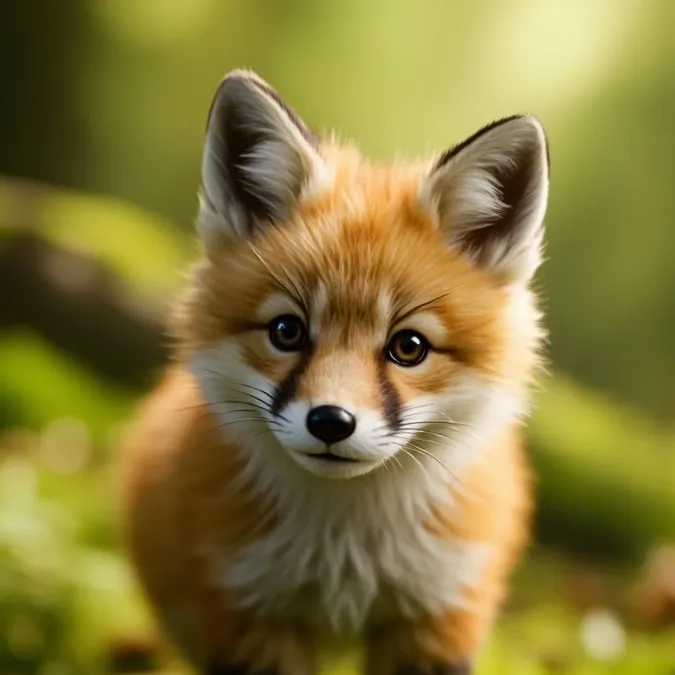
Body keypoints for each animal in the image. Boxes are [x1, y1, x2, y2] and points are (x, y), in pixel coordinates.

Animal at [119, 69, 550, 675]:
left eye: (409, 347)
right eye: (287, 331)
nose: (330, 422)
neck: (345, 554)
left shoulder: (438, 614)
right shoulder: (245, 607)